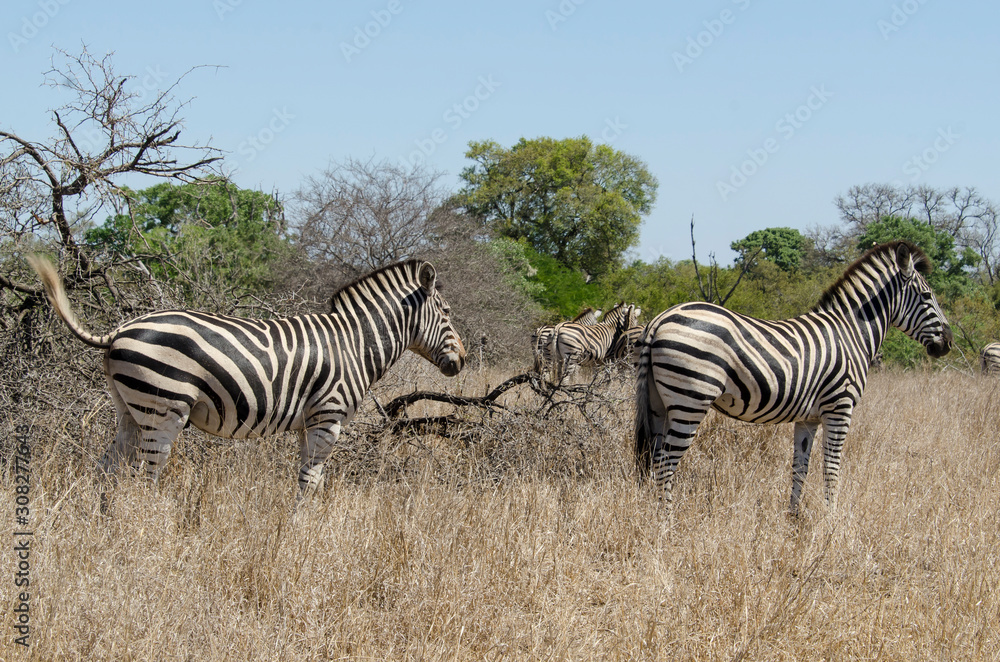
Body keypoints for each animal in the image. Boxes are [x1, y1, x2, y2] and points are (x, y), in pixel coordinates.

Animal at [28, 257, 466, 495]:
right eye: (446, 312)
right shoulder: (329, 417)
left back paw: (103, 526)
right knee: (146, 478)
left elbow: (309, 479)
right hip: (162, 410)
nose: (461, 360)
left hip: (129, 410)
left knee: (106, 470)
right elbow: (311, 480)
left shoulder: (309, 422)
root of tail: (118, 329)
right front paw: (300, 537)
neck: (355, 343)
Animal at [634, 241, 952, 515]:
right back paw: (667, 521)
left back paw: (653, 513)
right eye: (927, 296)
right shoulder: (840, 408)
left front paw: (793, 517)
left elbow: (801, 467)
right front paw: (831, 520)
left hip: (658, 402)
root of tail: (659, 320)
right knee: (665, 463)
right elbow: (831, 467)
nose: (947, 343)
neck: (851, 333)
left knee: (654, 457)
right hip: (691, 399)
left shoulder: (808, 419)